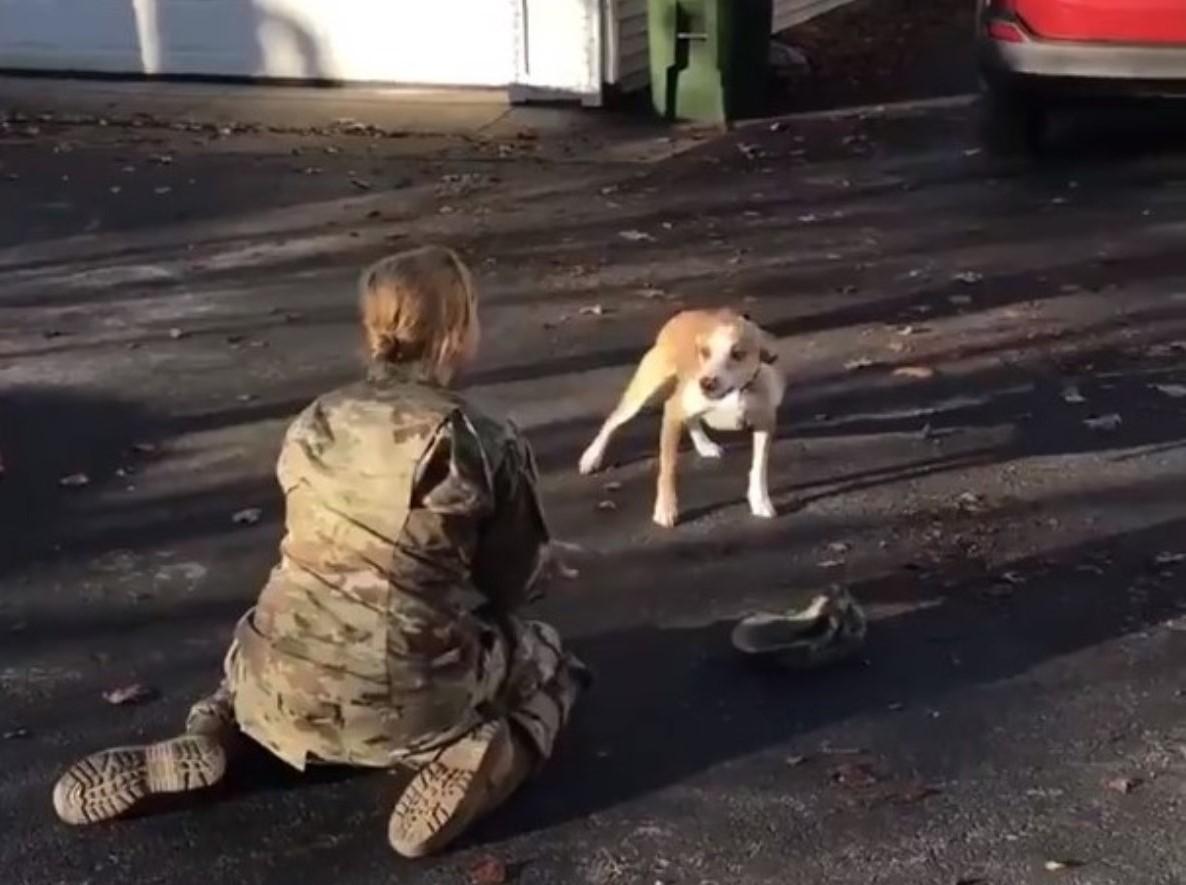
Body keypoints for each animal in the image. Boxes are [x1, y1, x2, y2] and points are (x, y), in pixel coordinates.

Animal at [578, 310, 782, 524]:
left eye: (737, 354)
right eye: (704, 352)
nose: (706, 383)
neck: (732, 394)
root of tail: (682, 315)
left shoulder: (765, 423)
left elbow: (759, 468)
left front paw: (760, 501)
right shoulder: (672, 413)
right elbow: (668, 468)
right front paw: (666, 507)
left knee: (691, 419)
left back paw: (703, 444)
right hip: (644, 393)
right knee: (613, 421)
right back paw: (592, 456)